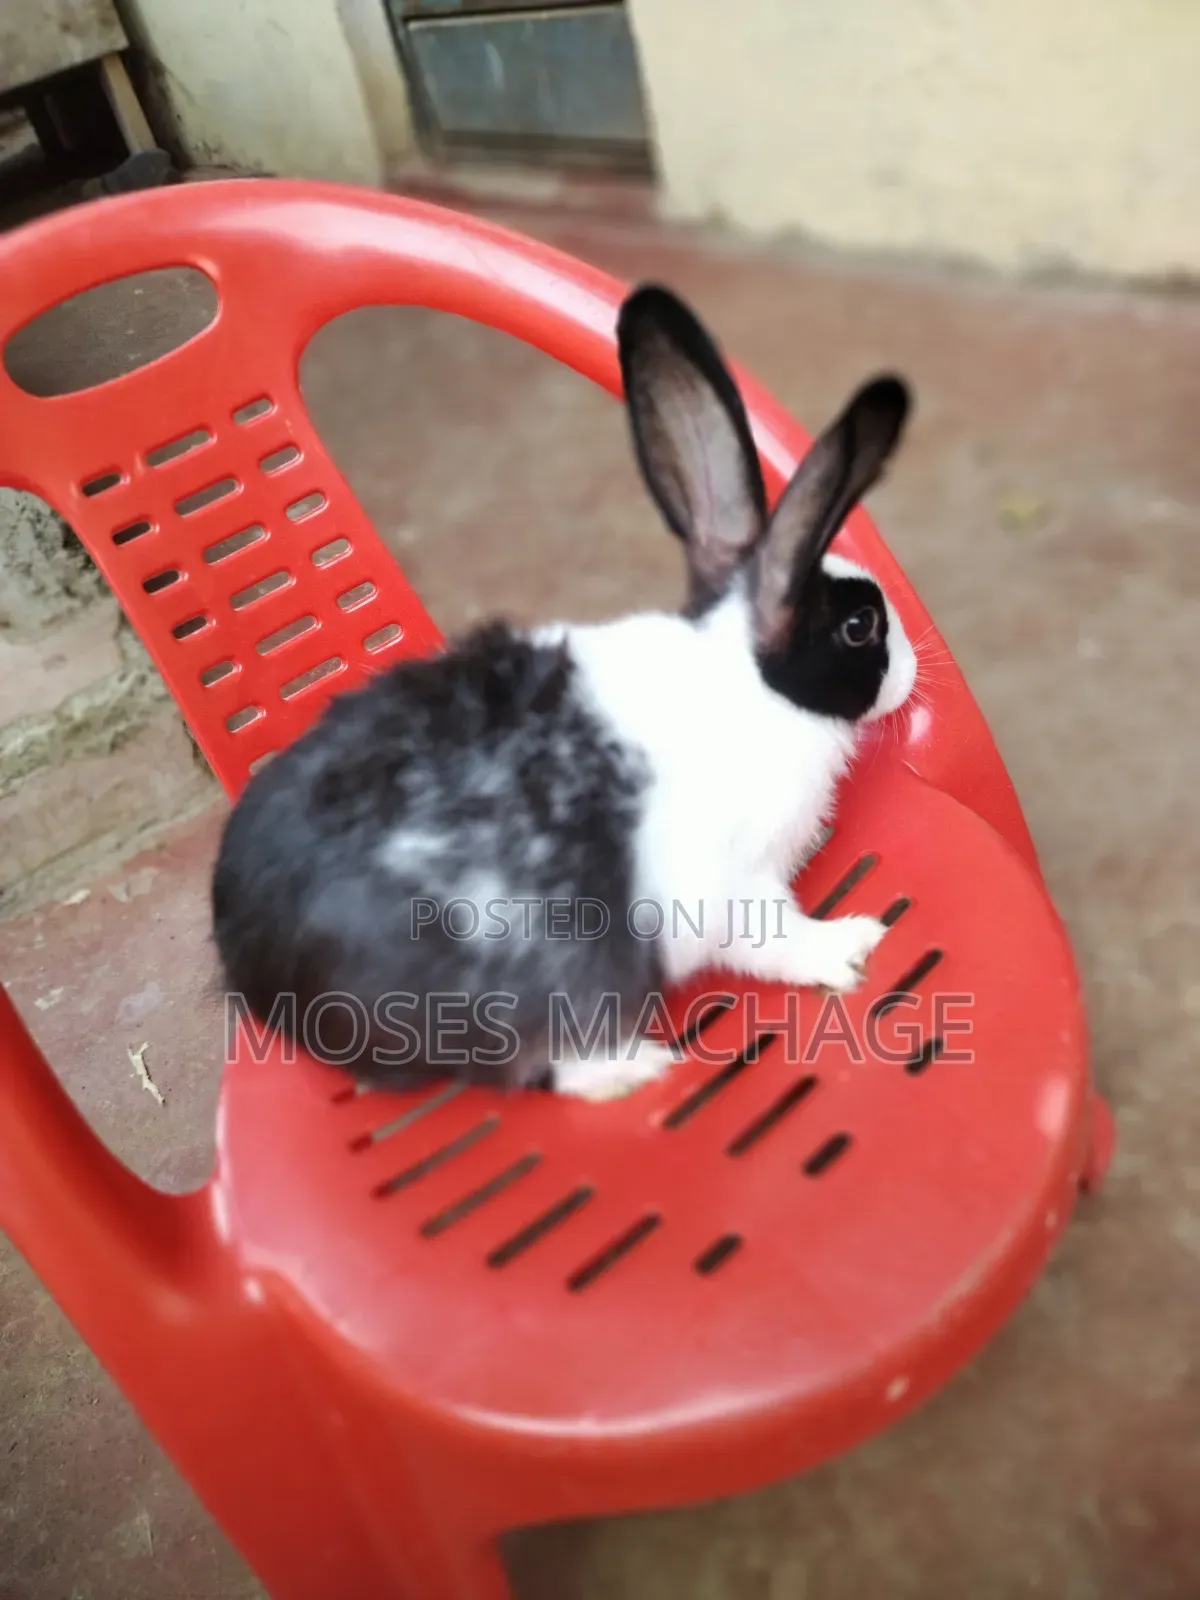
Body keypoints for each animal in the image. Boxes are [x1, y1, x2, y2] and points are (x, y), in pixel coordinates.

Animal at [210, 283, 917, 1102]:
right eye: (862, 627)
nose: (912, 670)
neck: (752, 683)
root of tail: (258, 980)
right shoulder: (737, 891)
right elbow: (777, 941)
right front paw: (849, 946)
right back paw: (638, 1066)